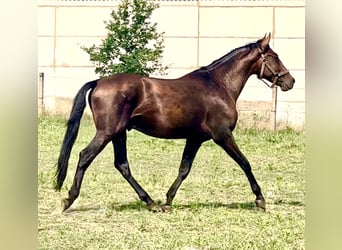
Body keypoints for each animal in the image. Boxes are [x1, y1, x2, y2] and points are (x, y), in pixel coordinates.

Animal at [55, 33, 294, 212]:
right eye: (274, 55)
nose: (290, 81)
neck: (218, 85)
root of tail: (98, 82)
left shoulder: (195, 138)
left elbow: (184, 169)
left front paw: (168, 200)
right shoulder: (223, 135)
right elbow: (245, 163)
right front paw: (260, 199)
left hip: (119, 134)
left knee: (122, 165)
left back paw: (151, 203)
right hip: (106, 133)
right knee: (85, 156)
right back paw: (69, 199)